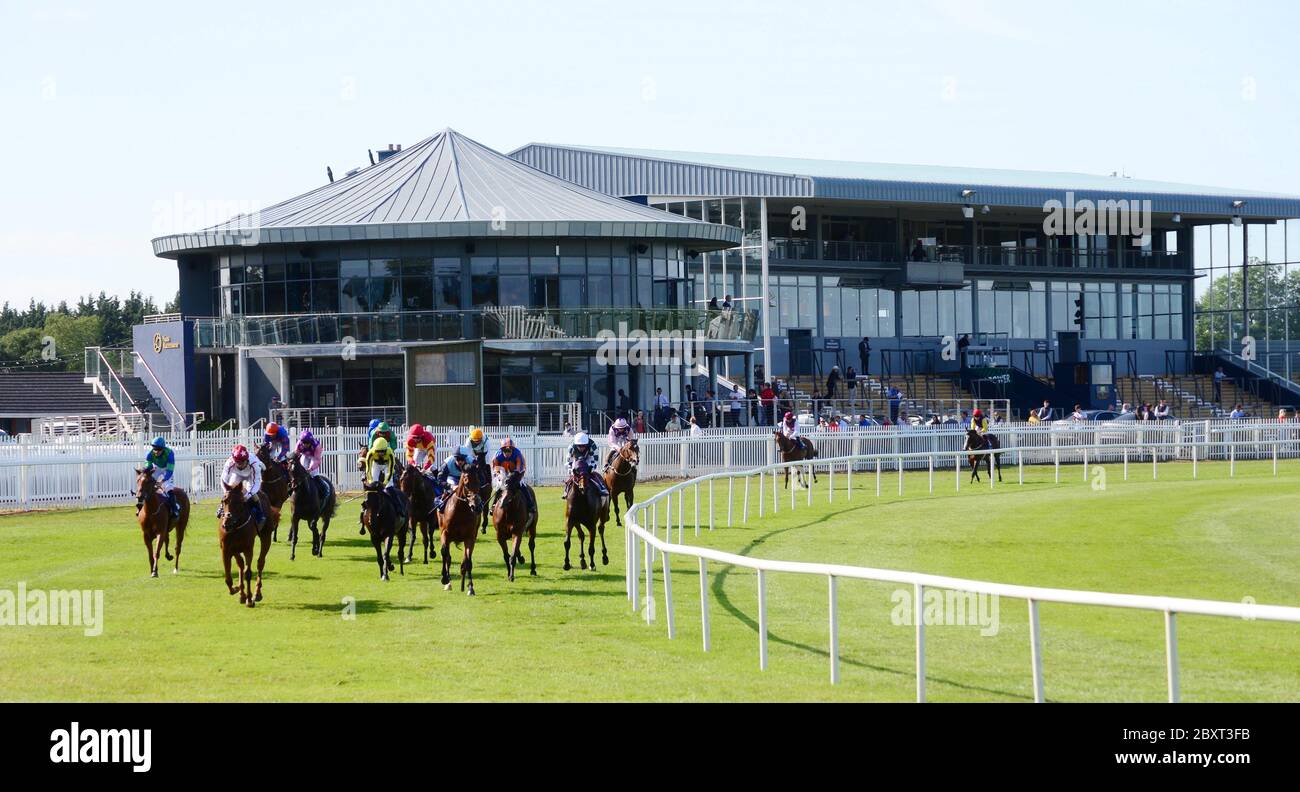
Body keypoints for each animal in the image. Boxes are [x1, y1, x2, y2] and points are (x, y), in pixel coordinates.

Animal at [436, 457, 483, 593]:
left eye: (479, 482)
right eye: (466, 483)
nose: (476, 507)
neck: (460, 511)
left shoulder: (470, 537)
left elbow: (467, 561)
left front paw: (471, 587)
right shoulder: (445, 533)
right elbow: (445, 553)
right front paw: (445, 579)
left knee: (465, 561)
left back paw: (463, 585)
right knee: (448, 557)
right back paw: (448, 583)